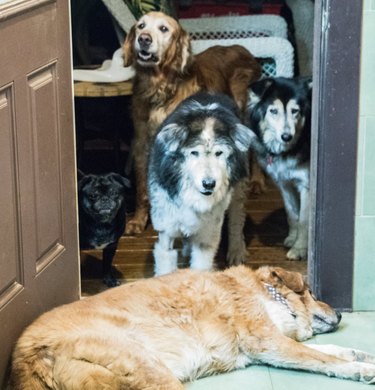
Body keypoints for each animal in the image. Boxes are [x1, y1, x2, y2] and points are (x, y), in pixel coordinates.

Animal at [9, 266, 375, 388]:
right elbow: (324, 359)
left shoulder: (272, 344)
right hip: (153, 373)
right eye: (312, 292)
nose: (340, 315)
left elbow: (333, 350)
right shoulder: (268, 342)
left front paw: (363, 356)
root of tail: (23, 357)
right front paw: (360, 371)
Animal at [122, 12, 262, 236]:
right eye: (141, 26)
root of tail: (241, 48)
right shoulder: (142, 143)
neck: (160, 88)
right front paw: (138, 221)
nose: (143, 39)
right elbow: (142, 187)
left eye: (163, 29)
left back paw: (256, 181)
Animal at [148, 92, 258, 274]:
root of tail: (212, 93)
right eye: (194, 153)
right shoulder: (166, 232)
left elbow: (201, 267)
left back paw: (236, 251)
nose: (209, 184)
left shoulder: (207, 238)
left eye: (219, 153)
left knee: (236, 222)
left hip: (238, 193)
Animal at [248, 76, 312, 260]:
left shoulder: (306, 185)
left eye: (295, 111)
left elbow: (304, 220)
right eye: (273, 111)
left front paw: (299, 249)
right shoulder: (284, 183)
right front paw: (292, 238)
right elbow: (292, 214)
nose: (286, 136)